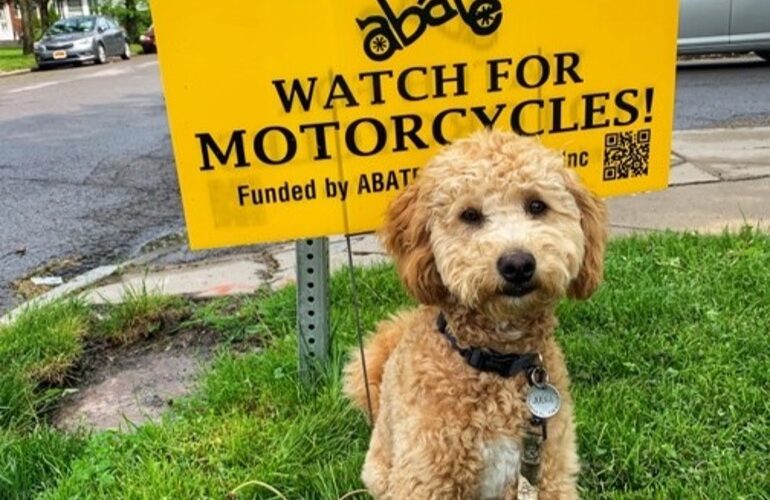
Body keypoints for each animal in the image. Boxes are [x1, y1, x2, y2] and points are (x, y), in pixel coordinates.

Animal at [344, 131, 608, 498]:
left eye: (536, 206)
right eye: (469, 215)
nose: (517, 264)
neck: (497, 363)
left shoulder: (548, 473)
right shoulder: (425, 479)